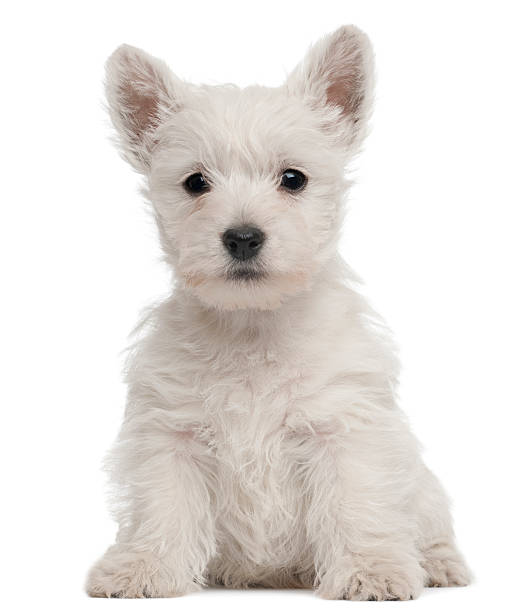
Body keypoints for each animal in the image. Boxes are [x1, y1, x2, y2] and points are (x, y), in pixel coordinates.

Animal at [86, 26, 470, 600]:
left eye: (293, 178)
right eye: (195, 182)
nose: (243, 237)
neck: (254, 325)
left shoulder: (343, 429)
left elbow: (356, 507)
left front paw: (370, 571)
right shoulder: (172, 436)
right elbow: (164, 509)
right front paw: (144, 568)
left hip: (422, 490)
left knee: (431, 523)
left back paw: (439, 565)